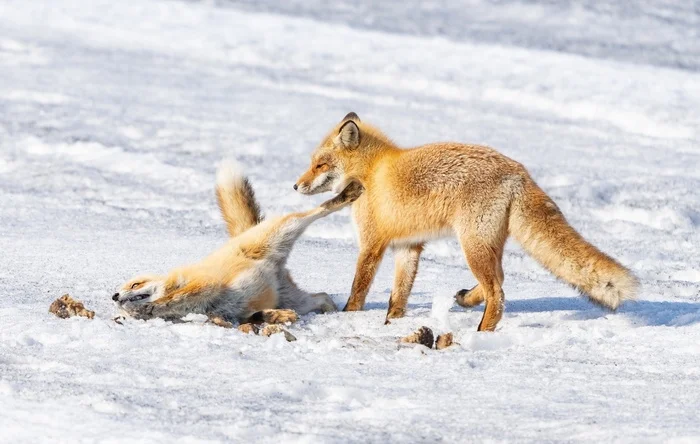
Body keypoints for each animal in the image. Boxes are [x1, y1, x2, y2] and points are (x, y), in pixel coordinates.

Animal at [112, 161, 364, 324]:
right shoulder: (231, 313)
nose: (114, 296)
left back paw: (348, 194)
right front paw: (275, 317)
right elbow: (250, 317)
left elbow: (172, 298)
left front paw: (150, 307)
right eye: (119, 289)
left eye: (135, 285)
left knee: (318, 210)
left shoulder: (205, 283)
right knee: (323, 296)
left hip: (285, 228)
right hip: (293, 298)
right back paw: (333, 312)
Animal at [292, 112, 636, 332]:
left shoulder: (371, 243)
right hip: (486, 244)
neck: (371, 172)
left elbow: (358, 290)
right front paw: (392, 323)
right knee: (499, 280)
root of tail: (518, 171)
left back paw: (482, 331)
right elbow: (398, 294)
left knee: (498, 292)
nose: (296, 186)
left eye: (320, 164)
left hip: (472, 244)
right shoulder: (407, 246)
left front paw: (348, 318)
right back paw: (468, 300)